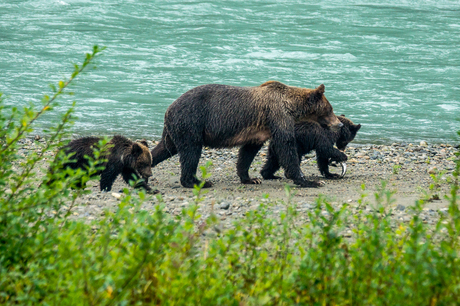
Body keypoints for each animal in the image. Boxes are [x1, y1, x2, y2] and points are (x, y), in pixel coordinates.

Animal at [153, 80, 344, 188]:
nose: (340, 123)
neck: (291, 106)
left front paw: (250, 178)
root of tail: (168, 109)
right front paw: (310, 181)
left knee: (164, 149)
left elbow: (247, 152)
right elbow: (286, 147)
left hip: (175, 131)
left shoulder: (258, 131)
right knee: (191, 153)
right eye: (330, 109)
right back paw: (197, 182)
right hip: (191, 122)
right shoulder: (277, 115)